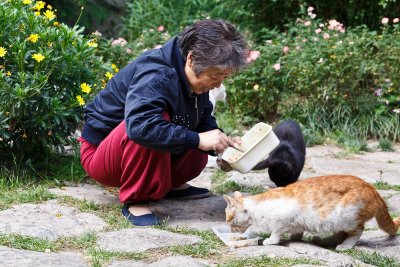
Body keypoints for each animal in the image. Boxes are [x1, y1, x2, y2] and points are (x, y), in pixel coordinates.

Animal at [223, 176, 398, 251]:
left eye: (228, 218)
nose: (227, 226)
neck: (256, 208)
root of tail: (373, 189)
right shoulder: (295, 222)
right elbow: (296, 231)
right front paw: (294, 238)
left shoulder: (282, 218)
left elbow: (276, 232)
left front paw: (271, 241)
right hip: (336, 222)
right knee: (341, 234)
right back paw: (323, 241)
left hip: (345, 216)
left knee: (357, 231)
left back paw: (344, 246)